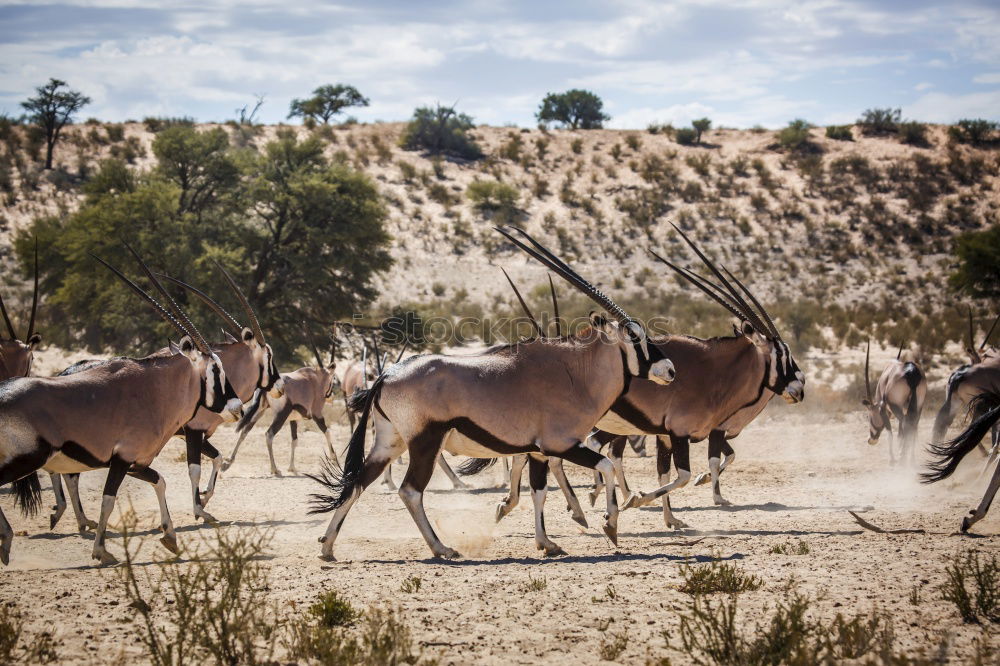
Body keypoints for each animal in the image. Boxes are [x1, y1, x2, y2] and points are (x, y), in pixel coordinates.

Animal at [0, 246, 242, 564]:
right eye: (216, 370)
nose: (237, 406)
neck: (154, 390)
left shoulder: (136, 462)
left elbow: (160, 481)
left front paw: (170, 538)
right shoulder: (122, 459)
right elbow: (108, 500)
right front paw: (102, 551)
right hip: (26, 459)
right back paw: (9, 537)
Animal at [308, 226, 676, 556]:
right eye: (634, 336)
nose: (670, 369)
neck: (575, 372)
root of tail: (388, 375)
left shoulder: (538, 451)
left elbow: (539, 491)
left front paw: (547, 543)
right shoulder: (561, 444)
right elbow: (606, 466)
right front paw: (610, 526)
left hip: (390, 441)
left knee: (358, 481)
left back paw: (327, 547)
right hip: (425, 441)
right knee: (410, 490)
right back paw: (442, 548)